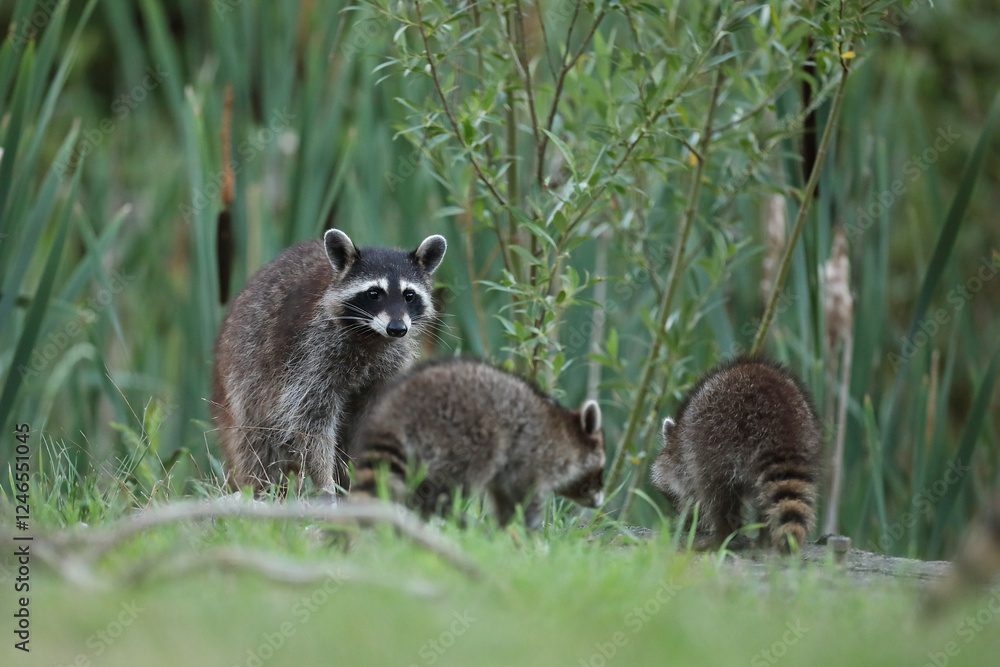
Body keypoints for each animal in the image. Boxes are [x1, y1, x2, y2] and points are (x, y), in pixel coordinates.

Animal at [211, 228, 447, 496]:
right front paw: (324, 482)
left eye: (409, 295)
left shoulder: (391, 362)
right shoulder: (311, 357)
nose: (397, 328)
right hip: (245, 379)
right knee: (256, 443)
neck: (372, 335)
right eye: (374, 293)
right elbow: (311, 421)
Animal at [350, 358, 605, 528]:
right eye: (601, 470)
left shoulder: (508, 473)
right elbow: (526, 497)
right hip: (464, 433)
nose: (600, 502)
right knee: (461, 478)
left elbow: (506, 501)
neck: (569, 434)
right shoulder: (535, 458)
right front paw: (529, 533)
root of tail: (398, 406)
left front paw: (506, 530)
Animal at [650, 357, 822, 552]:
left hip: (719, 438)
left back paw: (722, 535)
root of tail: (783, 426)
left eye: (670, 496)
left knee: (716, 493)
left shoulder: (694, 450)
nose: (686, 525)